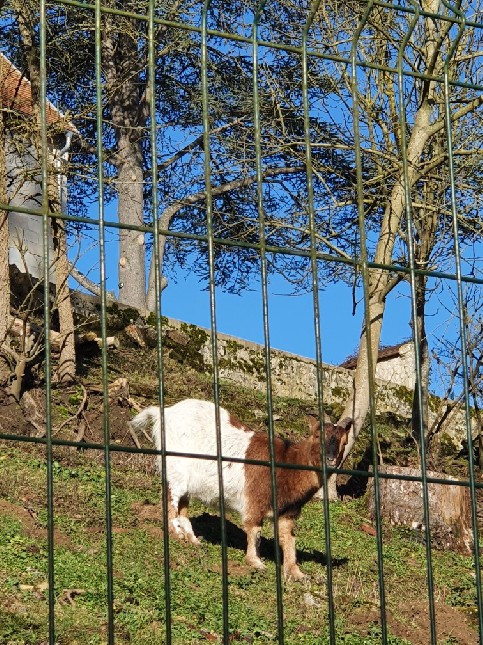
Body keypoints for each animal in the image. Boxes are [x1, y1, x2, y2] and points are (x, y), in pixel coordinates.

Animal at [130, 398, 352, 581]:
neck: (287, 464)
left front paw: (296, 573)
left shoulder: (288, 512)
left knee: (182, 505)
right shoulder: (256, 499)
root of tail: (163, 413)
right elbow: (254, 530)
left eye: (344, 441)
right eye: (317, 435)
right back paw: (176, 534)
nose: (330, 459)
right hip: (175, 468)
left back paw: (193, 539)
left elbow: (288, 539)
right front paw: (256, 563)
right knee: (171, 498)